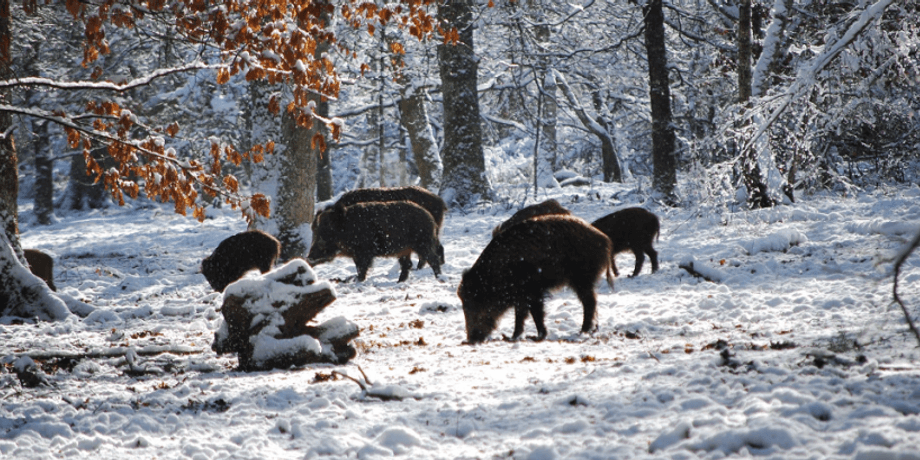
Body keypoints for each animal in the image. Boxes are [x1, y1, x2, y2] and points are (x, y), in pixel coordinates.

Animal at [307, 201, 442, 283]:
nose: (309, 258)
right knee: (407, 264)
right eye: (315, 232)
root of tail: (431, 219)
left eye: (326, 232)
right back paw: (399, 282)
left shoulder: (364, 251)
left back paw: (439, 278)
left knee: (433, 259)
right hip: (404, 250)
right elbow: (358, 266)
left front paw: (358, 280)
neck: (347, 227)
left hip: (422, 243)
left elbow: (362, 267)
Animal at [458, 215, 614, 343]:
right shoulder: (525, 295)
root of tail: (605, 240)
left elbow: (531, 313)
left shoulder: (530, 291)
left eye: (475, 301)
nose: (471, 340)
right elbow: (526, 314)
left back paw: (583, 331)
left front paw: (524, 337)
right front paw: (522, 336)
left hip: (582, 278)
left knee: (589, 302)